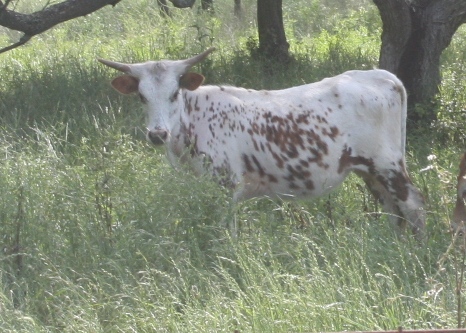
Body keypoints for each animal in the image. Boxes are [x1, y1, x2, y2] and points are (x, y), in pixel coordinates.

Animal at [98, 48, 426, 237]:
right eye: (142, 97)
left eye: (174, 93)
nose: (157, 134)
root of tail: (381, 76)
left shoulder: (226, 186)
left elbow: (227, 232)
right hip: (369, 171)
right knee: (392, 208)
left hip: (387, 165)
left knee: (412, 205)